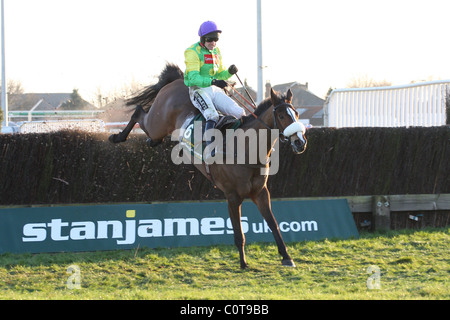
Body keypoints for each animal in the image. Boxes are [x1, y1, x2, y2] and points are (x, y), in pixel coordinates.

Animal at [110, 62, 308, 268]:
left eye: (296, 113)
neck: (245, 149)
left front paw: (286, 256)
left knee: (150, 131)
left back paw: (150, 142)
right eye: (282, 116)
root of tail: (179, 79)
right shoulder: (232, 196)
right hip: (157, 122)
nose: (300, 142)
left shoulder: (260, 192)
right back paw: (117, 137)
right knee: (138, 112)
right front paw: (243, 263)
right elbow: (239, 233)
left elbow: (273, 223)